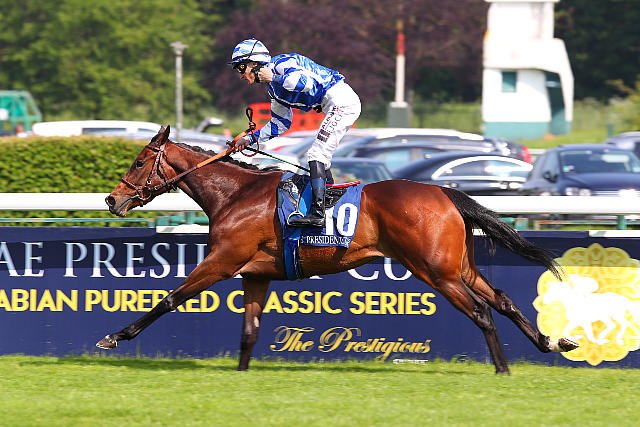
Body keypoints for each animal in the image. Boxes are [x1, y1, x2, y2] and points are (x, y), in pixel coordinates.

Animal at [97, 125, 578, 374]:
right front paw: (241, 374)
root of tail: (444, 192)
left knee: (480, 312)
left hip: (435, 271)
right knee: (503, 300)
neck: (234, 195)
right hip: (458, 266)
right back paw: (550, 343)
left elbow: (169, 298)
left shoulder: (223, 260)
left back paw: (502, 368)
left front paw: (114, 337)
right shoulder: (256, 273)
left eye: (138, 162)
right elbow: (249, 331)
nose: (111, 200)